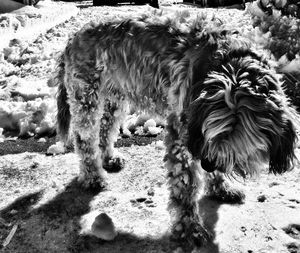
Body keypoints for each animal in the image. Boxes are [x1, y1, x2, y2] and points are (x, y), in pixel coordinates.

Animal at [53, 12, 298, 251]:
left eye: (237, 144)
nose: (206, 163)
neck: (229, 64)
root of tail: (73, 37)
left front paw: (220, 187)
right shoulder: (183, 135)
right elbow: (185, 186)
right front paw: (190, 228)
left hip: (116, 97)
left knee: (106, 128)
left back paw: (109, 158)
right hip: (87, 97)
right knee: (84, 138)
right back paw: (92, 176)